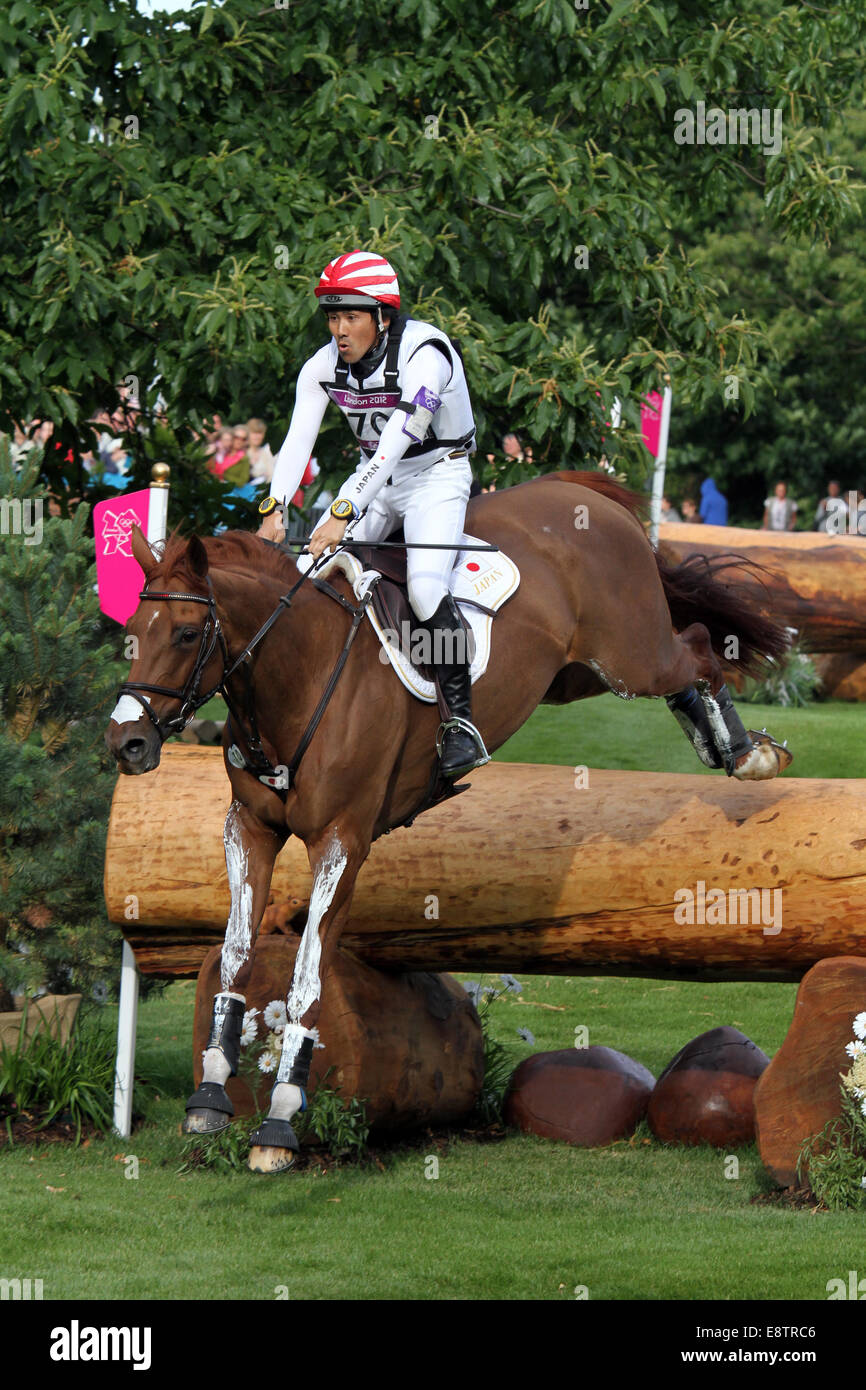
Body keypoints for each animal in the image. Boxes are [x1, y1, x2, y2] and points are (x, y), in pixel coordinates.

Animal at [104, 469, 789, 1173]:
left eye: (187, 634)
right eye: (132, 627)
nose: (127, 743)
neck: (296, 676)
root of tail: (583, 493)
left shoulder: (342, 841)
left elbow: (306, 978)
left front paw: (279, 1122)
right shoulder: (250, 830)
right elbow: (236, 956)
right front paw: (211, 1095)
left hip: (630, 655)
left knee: (698, 646)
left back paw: (747, 754)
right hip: (574, 675)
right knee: (684, 658)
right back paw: (730, 747)